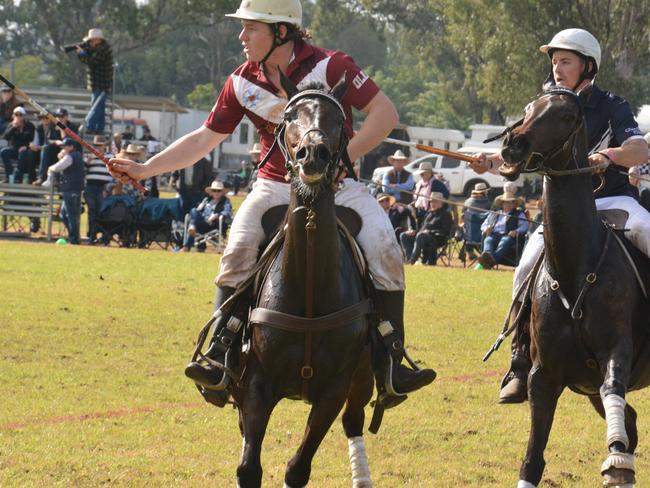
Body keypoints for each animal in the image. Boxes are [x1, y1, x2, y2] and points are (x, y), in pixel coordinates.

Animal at [230, 73, 374, 488]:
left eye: (339, 120)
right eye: (290, 115)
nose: (314, 155)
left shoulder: (334, 390)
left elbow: (297, 468)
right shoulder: (256, 384)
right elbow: (249, 467)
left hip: (364, 378)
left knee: (354, 421)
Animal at [496, 86, 648, 486]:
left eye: (566, 116)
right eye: (529, 108)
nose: (513, 145)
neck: (576, 269)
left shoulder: (616, 352)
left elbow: (613, 387)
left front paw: (616, 462)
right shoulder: (544, 376)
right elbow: (532, 458)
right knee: (632, 422)